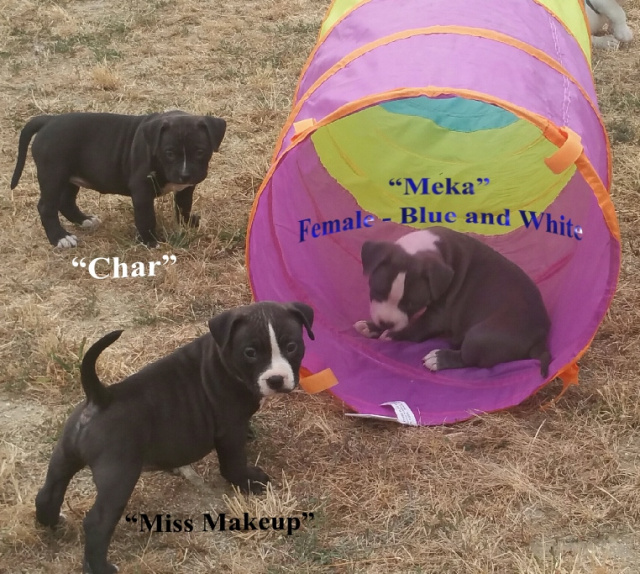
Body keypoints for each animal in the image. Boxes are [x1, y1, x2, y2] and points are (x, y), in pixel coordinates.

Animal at [10, 110, 226, 248]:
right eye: (169, 153)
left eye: (200, 151)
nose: (185, 174)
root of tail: (48, 120)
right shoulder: (142, 190)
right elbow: (146, 217)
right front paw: (150, 242)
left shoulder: (186, 188)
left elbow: (183, 206)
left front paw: (187, 224)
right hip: (53, 174)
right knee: (46, 207)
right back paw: (60, 238)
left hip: (70, 176)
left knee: (65, 201)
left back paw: (84, 220)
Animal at [35, 301, 314, 574]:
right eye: (250, 352)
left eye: (291, 346)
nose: (276, 379)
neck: (223, 358)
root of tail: (100, 398)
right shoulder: (229, 430)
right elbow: (233, 463)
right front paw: (249, 482)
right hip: (118, 476)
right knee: (96, 523)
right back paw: (100, 567)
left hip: (65, 456)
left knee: (48, 491)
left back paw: (50, 522)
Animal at [354, 228, 551, 376]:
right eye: (376, 292)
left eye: (411, 304)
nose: (386, 323)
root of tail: (541, 336)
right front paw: (370, 326)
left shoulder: (438, 316)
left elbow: (416, 327)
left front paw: (391, 334)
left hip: (482, 336)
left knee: (469, 358)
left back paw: (439, 359)